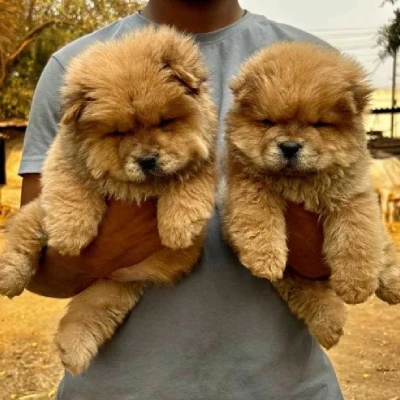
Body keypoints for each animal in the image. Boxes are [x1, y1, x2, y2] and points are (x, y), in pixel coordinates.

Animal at [0, 27, 217, 376]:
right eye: (117, 132)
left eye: (164, 122)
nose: (147, 160)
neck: (138, 186)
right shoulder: (66, 159)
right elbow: (71, 185)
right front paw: (71, 234)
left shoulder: (203, 158)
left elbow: (190, 180)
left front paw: (179, 227)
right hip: (39, 216)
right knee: (21, 235)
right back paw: (9, 278)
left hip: (114, 289)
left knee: (91, 313)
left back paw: (72, 350)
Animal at [222, 42, 400, 350]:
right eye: (268, 122)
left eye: (318, 124)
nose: (290, 146)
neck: (300, 182)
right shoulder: (247, 184)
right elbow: (256, 216)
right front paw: (263, 258)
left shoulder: (353, 196)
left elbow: (358, 237)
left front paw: (356, 284)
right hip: (294, 277)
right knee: (311, 296)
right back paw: (329, 327)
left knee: (385, 250)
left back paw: (392, 285)